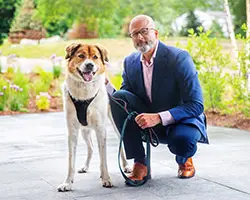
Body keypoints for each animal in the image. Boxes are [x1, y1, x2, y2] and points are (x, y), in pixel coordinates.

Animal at [57, 43, 131, 192]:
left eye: (95, 57)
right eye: (81, 56)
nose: (90, 65)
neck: (84, 91)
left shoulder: (100, 129)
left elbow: (104, 159)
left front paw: (106, 179)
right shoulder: (72, 130)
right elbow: (71, 161)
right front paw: (67, 183)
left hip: (116, 126)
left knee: (120, 146)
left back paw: (125, 166)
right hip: (84, 130)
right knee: (90, 147)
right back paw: (85, 167)